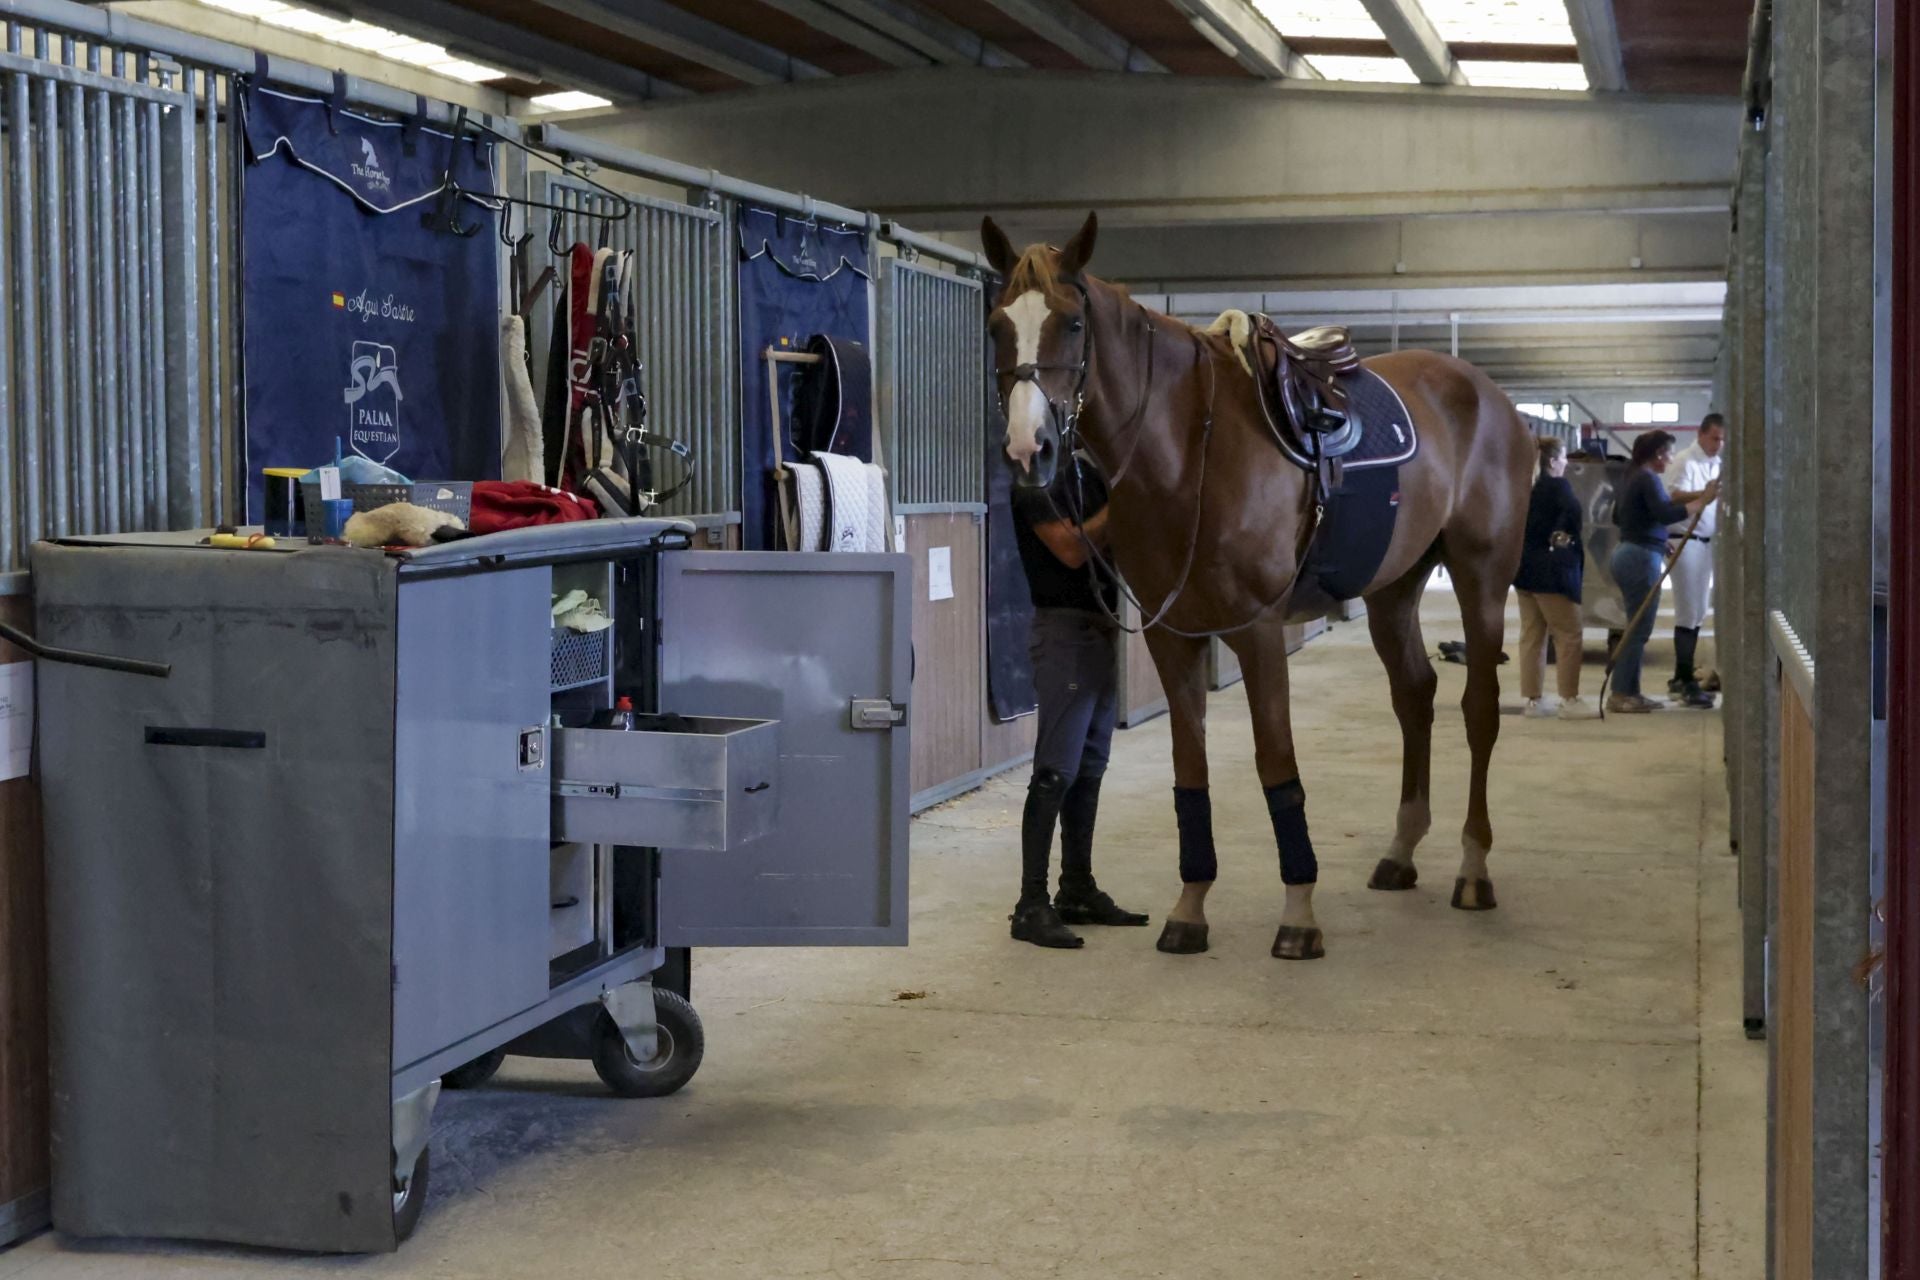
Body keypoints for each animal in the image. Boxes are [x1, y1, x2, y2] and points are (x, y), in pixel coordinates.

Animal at [990, 214, 1528, 959]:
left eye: (1071, 323)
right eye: (996, 324)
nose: (1028, 451)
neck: (1189, 450)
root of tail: (1492, 398)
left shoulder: (1259, 633)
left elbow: (1277, 764)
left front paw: (1298, 916)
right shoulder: (1173, 638)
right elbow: (1190, 768)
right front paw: (1189, 909)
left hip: (1482, 577)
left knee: (1479, 708)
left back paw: (1473, 870)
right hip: (1395, 590)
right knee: (1414, 696)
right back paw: (1400, 853)